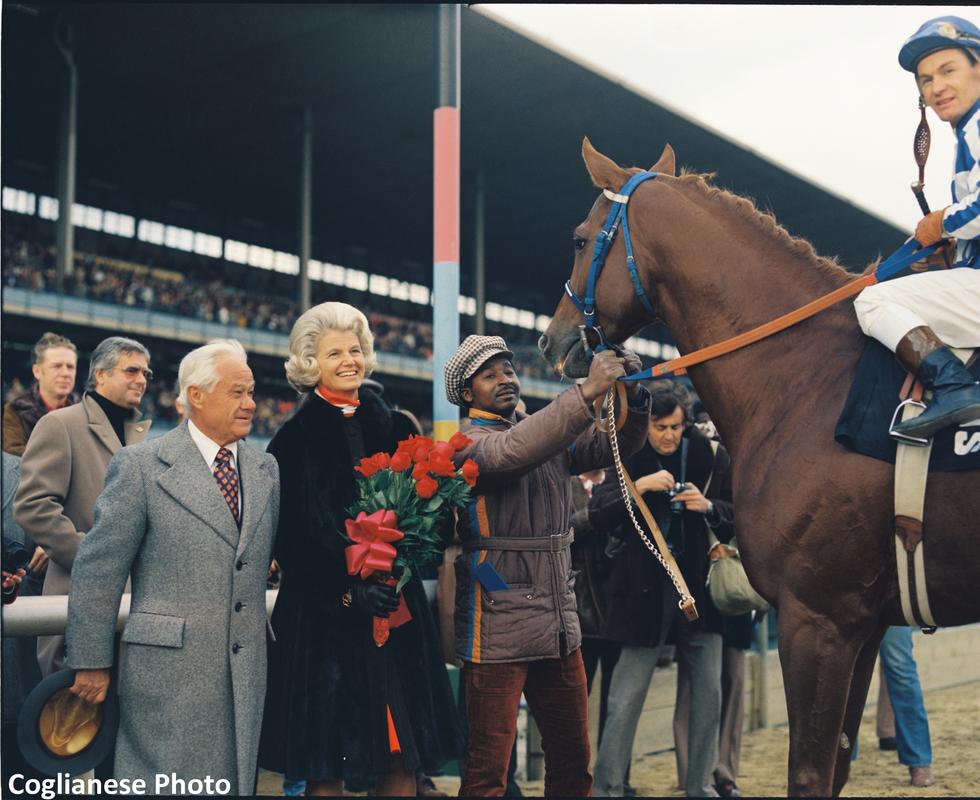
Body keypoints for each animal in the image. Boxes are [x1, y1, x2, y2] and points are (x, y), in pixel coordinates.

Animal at [540, 138, 980, 792]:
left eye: (576, 238)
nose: (552, 341)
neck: (809, 380)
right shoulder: (865, 622)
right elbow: (836, 767)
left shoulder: (816, 619)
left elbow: (810, 774)